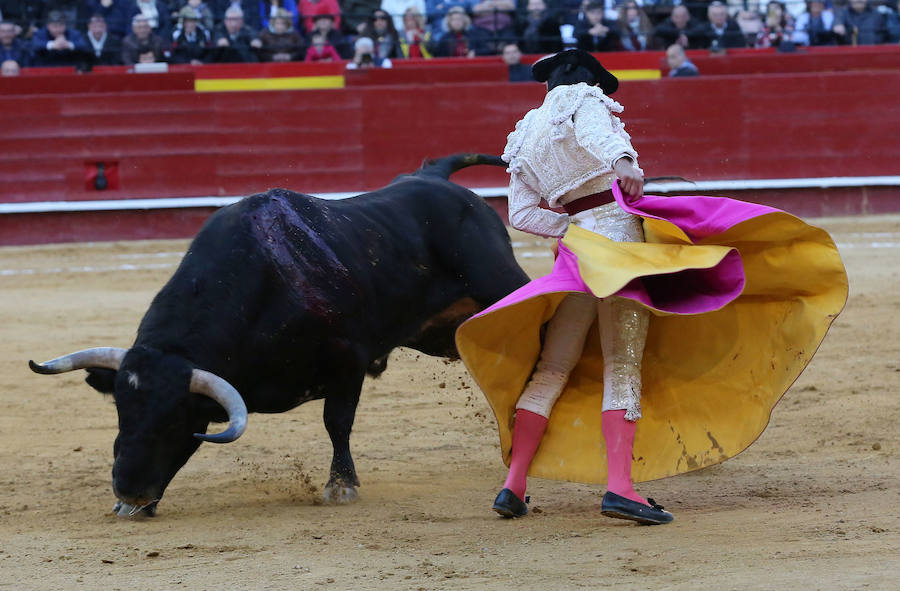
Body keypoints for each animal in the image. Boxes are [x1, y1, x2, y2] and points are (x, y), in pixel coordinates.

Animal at [31, 154, 532, 520]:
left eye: (178, 420)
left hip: (502, 286)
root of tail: (436, 176)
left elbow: (336, 422)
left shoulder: (348, 362)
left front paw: (341, 486)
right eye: (121, 411)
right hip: (443, 332)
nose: (129, 491)